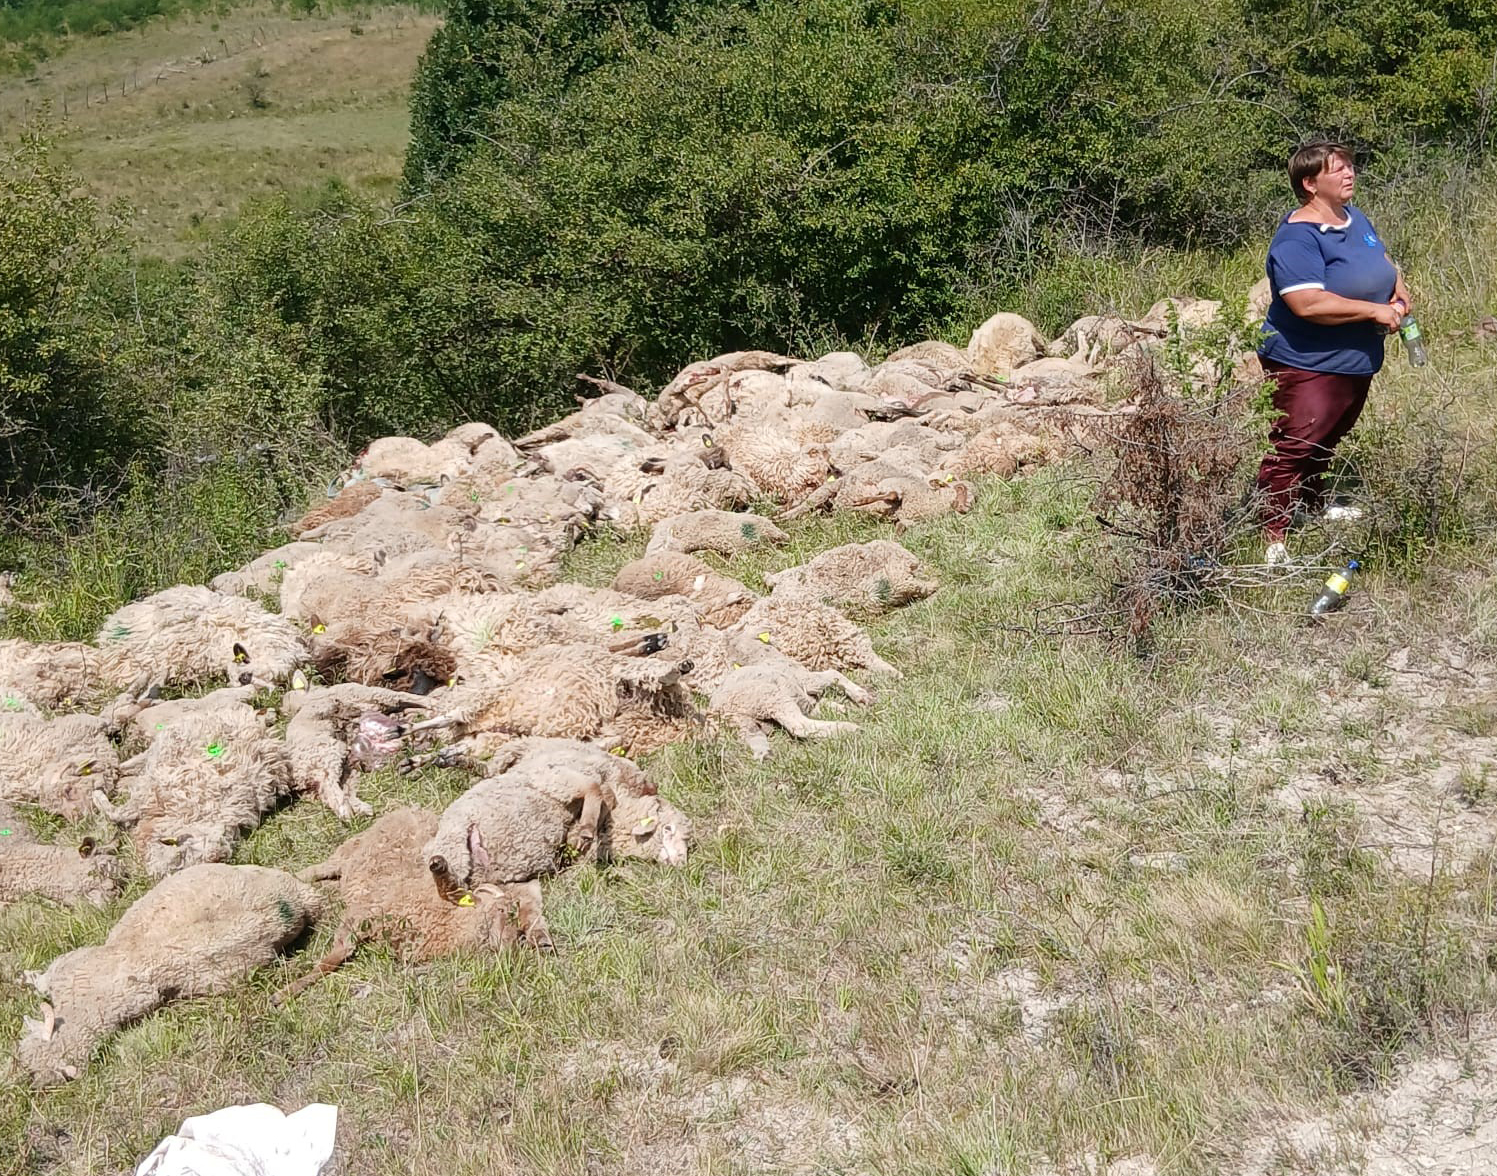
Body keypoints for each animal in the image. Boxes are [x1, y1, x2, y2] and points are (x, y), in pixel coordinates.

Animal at [16, 863, 323, 1085]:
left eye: (33, 1068)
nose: (33, 1085)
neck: (87, 1004)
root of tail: (294, 898)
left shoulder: (75, 965)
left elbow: (44, 978)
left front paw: (29, 977)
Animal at [93, 702, 291, 877]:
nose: (219, 856)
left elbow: (118, 812)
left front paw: (99, 795)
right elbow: (118, 812)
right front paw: (99, 794)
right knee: (132, 764)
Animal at [271, 807, 520, 1005]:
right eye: (503, 911)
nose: (510, 948)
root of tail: (414, 808)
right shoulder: (362, 914)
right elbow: (332, 959)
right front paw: (285, 991)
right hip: (349, 849)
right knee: (320, 868)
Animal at [282, 681, 433, 820]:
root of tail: (300, 775)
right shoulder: (372, 693)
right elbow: (401, 696)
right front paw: (432, 703)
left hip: (344, 768)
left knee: (339, 790)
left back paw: (362, 809)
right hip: (327, 752)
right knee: (328, 783)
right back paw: (346, 812)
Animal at [709, 663, 865, 760]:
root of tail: (719, 711)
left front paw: (844, 706)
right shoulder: (806, 684)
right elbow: (832, 675)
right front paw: (861, 696)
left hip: (745, 721)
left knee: (754, 736)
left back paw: (765, 754)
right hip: (769, 695)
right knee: (799, 725)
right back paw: (849, 728)